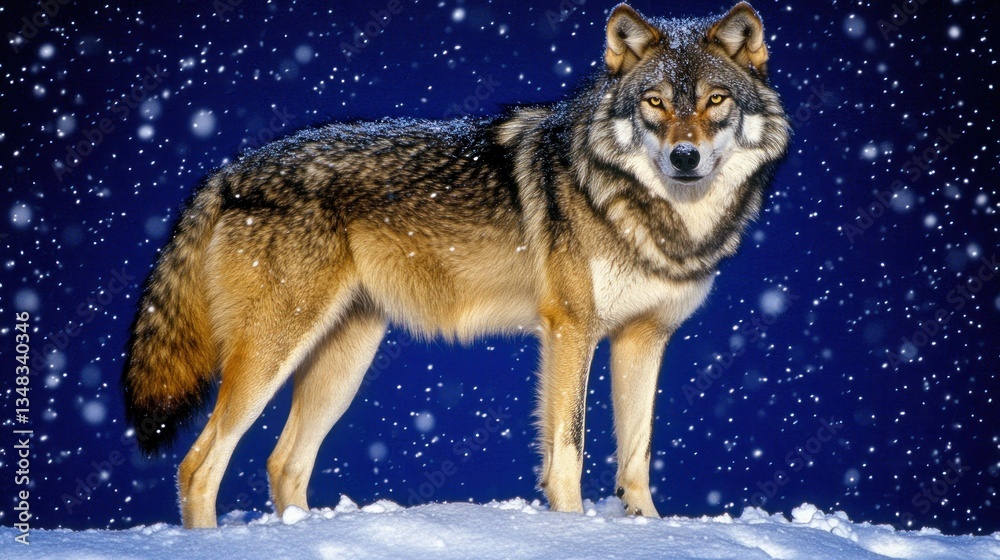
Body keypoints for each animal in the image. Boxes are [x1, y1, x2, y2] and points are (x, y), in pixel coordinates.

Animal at [122, 2, 789, 528]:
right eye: (655, 102)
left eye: (714, 101)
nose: (684, 157)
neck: (657, 217)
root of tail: (224, 173)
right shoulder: (570, 329)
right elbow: (568, 450)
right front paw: (574, 531)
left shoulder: (644, 336)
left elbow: (637, 457)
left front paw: (649, 529)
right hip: (273, 349)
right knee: (198, 465)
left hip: (343, 360)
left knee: (283, 463)